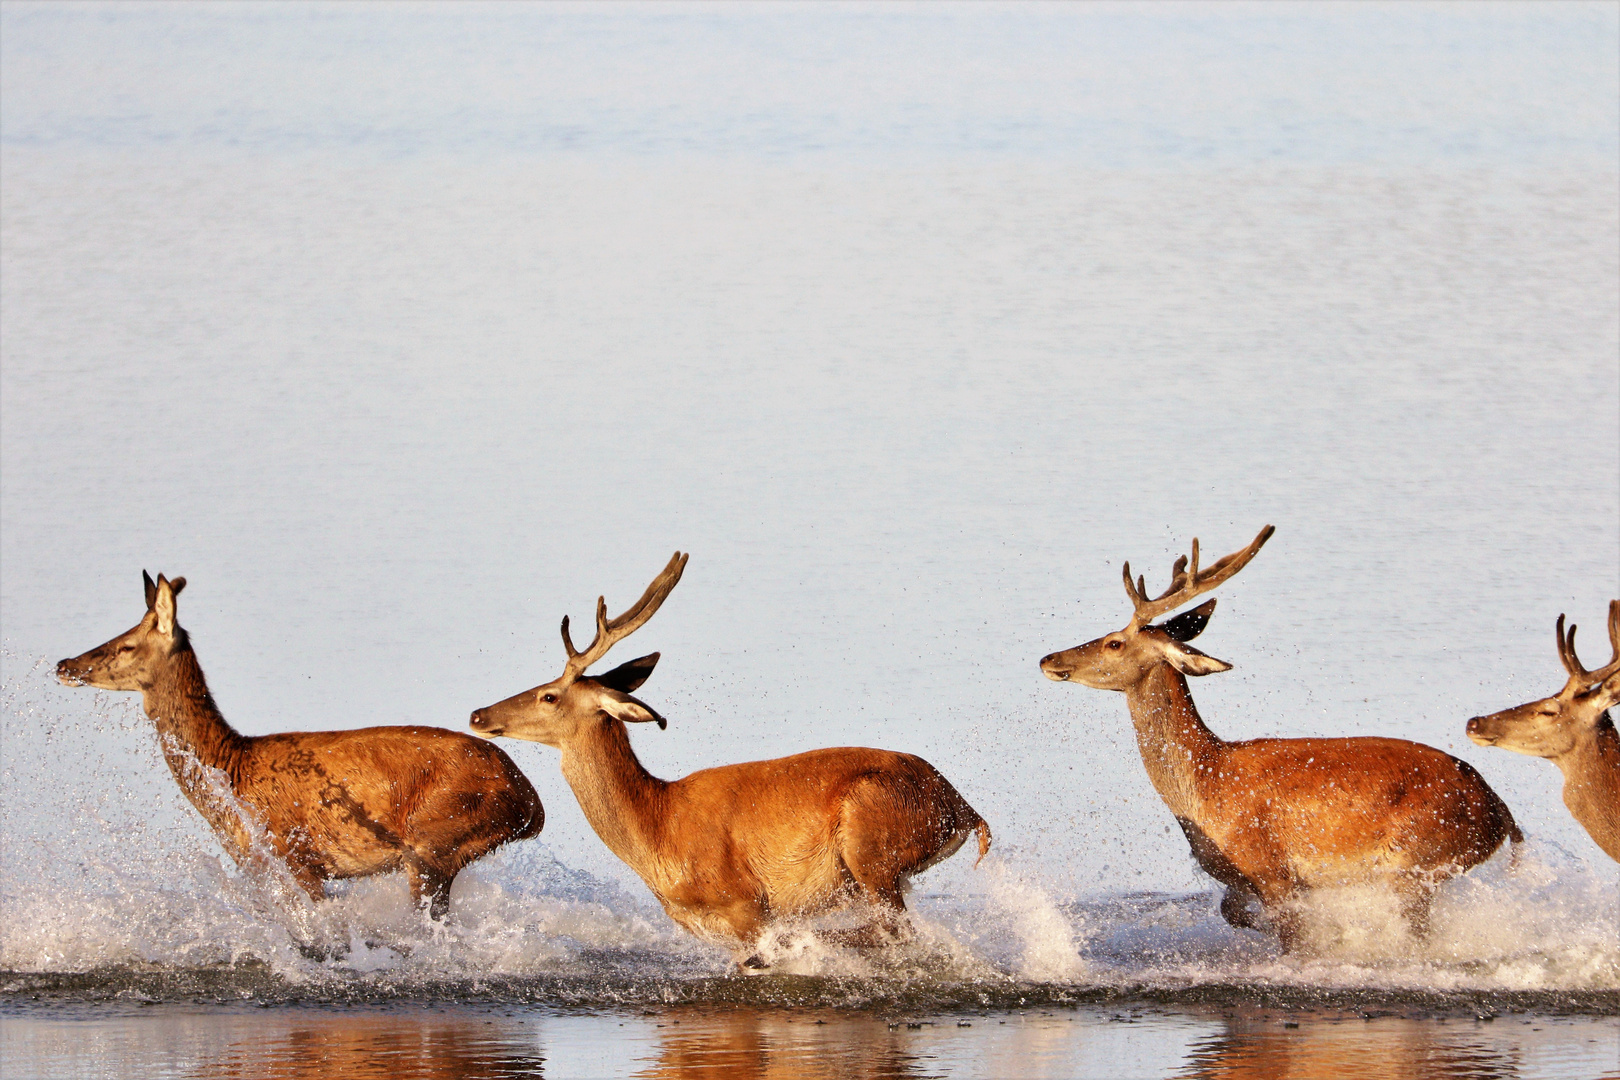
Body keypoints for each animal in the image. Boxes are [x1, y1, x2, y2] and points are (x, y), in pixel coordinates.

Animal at [55, 573, 544, 919]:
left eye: (126, 644)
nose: (65, 664)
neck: (232, 775)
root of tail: (531, 803)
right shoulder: (260, 869)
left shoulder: (296, 855)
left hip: (434, 840)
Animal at [469, 553, 991, 965]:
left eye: (549, 695)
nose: (478, 714)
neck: (657, 831)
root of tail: (963, 809)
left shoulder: (747, 901)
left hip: (872, 841)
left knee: (895, 931)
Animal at [1036, 527, 1516, 952]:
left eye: (1115, 642)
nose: (1048, 658)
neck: (1205, 782)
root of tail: (1500, 812)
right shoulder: (1242, 881)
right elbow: (1233, 913)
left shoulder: (1272, 868)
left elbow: (1290, 933)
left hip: (1418, 858)